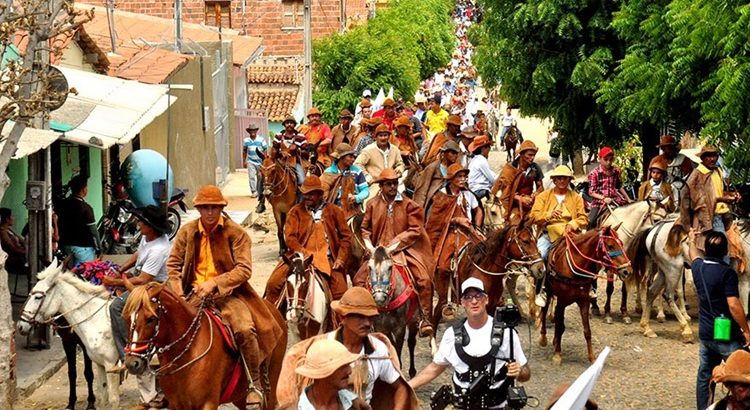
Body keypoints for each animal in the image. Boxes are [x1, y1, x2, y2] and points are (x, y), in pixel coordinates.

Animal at [16, 260, 120, 406]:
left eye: (38, 297)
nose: (20, 326)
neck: (96, 319)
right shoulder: (95, 360)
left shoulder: (111, 364)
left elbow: (107, 393)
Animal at [368, 240, 420, 378]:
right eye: (369, 267)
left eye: (390, 267)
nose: (379, 298)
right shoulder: (380, 328)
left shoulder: (400, 328)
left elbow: (399, 349)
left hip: (413, 321)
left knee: (411, 342)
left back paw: (412, 371)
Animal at [540, 227, 636, 366]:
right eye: (610, 246)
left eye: (622, 243)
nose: (627, 271)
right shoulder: (562, 302)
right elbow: (560, 326)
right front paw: (557, 354)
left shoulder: (584, 301)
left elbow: (587, 331)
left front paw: (592, 357)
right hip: (547, 292)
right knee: (544, 311)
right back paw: (543, 338)